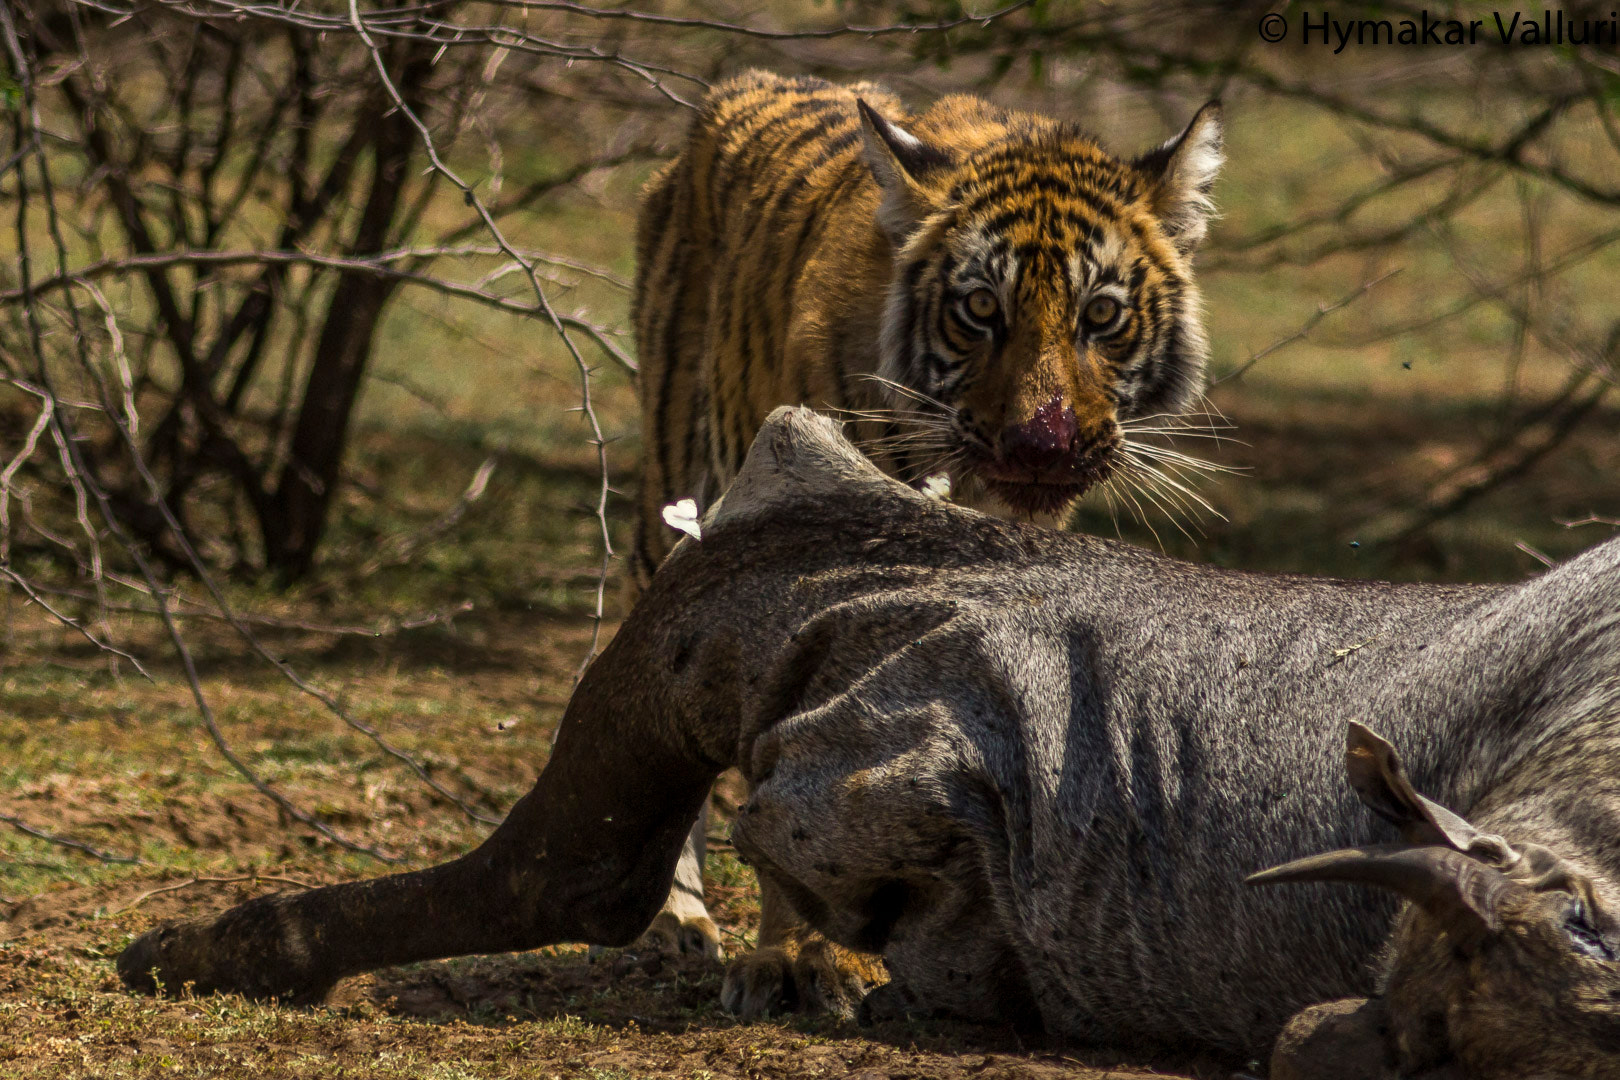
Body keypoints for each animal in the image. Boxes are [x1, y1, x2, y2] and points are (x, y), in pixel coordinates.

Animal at [628, 69, 1225, 1018]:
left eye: (1101, 315)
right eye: (981, 308)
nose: (1042, 444)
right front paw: (796, 959)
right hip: (677, 501)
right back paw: (674, 921)